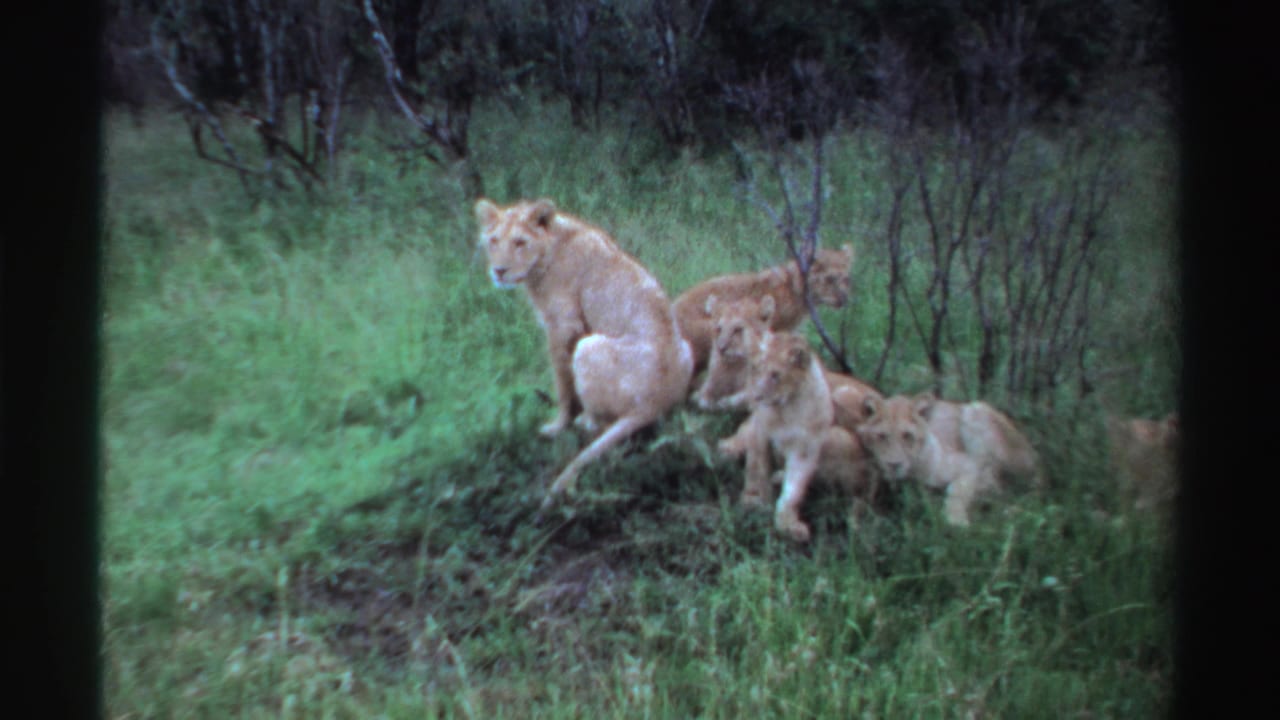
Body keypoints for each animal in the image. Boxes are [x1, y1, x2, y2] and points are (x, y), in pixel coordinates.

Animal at [475, 198, 694, 508]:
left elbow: (563, 383)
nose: (499, 271)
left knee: (599, 425)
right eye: (493, 241)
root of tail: (655, 403)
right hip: (685, 346)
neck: (548, 251)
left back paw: (584, 420)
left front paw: (557, 425)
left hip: (587, 347)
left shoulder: (563, 326)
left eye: (519, 242)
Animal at [716, 330, 879, 543]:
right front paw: (754, 499)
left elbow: (794, 489)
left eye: (776, 375)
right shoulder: (759, 429)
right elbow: (756, 466)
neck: (786, 409)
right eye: (756, 369)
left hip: (841, 423)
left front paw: (788, 524)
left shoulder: (806, 446)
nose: (756, 396)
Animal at [856, 393, 1043, 527]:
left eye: (908, 436)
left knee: (1002, 485)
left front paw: (956, 521)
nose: (894, 465)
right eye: (881, 436)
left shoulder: (969, 465)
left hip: (975, 411)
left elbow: (957, 491)